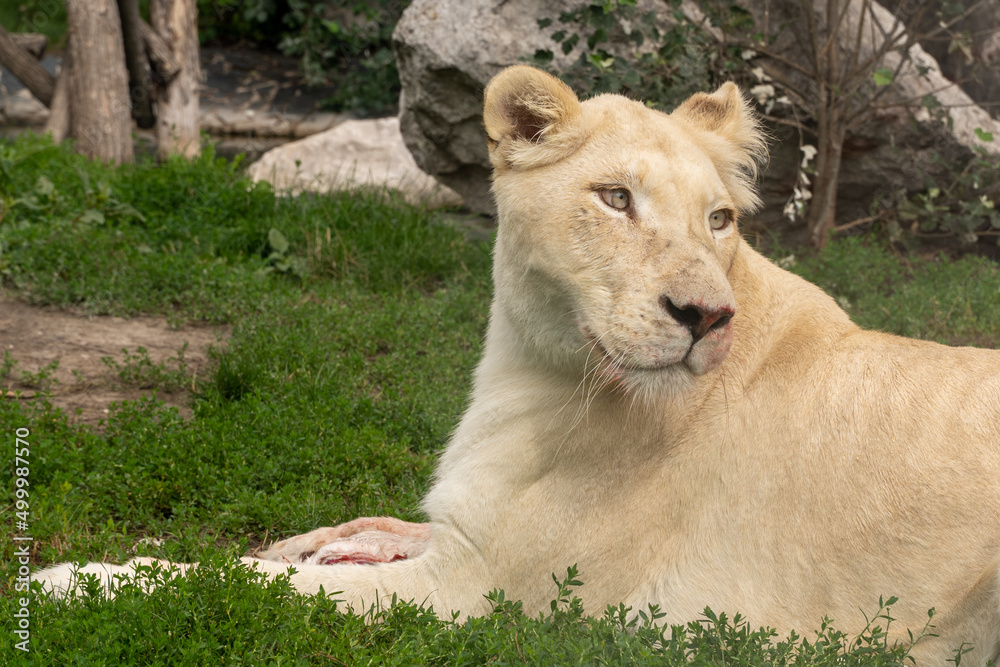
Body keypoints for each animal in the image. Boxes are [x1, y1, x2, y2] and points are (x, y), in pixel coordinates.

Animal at [38, 65, 1000, 664]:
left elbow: (241, 581)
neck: (530, 362)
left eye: (719, 219)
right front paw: (317, 539)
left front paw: (75, 578)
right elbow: (350, 536)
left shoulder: (477, 593)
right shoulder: (463, 535)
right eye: (615, 198)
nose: (705, 318)